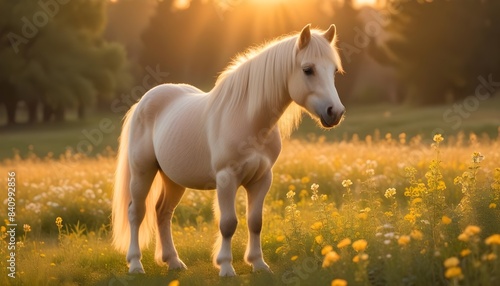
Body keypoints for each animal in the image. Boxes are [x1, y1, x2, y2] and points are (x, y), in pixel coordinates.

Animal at [112, 24, 344, 278]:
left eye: (334, 71)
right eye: (308, 69)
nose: (335, 112)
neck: (248, 120)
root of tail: (143, 102)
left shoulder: (262, 179)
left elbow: (255, 221)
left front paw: (259, 264)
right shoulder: (226, 179)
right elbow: (228, 223)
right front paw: (225, 266)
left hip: (173, 179)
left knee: (163, 212)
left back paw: (173, 261)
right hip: (142, 172)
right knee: (136, 212)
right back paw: (135, 264)